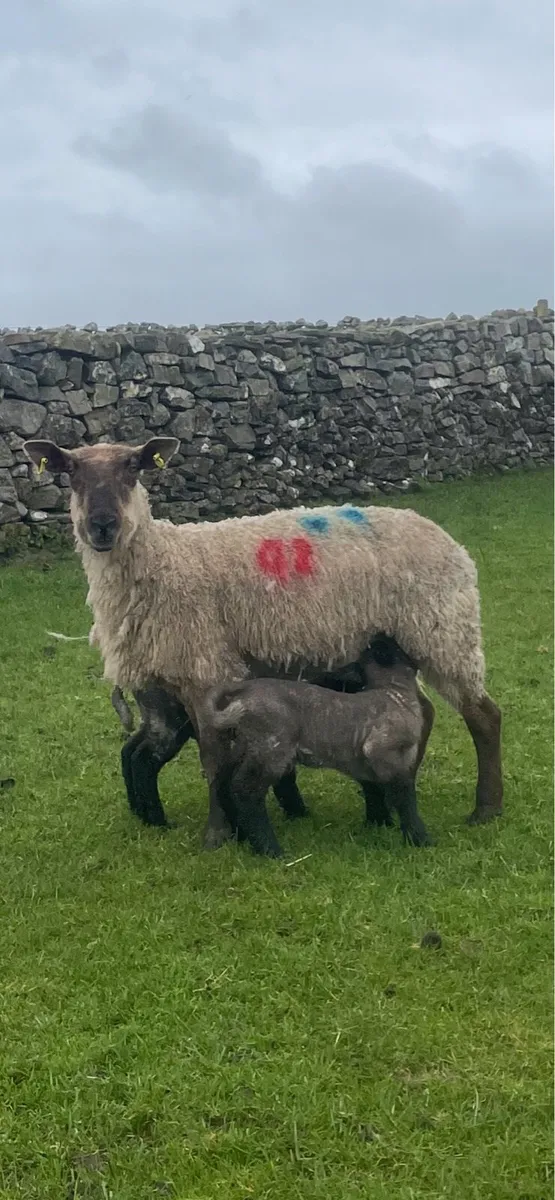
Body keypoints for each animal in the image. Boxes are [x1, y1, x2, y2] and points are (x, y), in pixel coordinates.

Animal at [202, 636, 433, 856]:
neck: (394, 693)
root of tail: (243, 691)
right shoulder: (382, 750)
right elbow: (404, 793)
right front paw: (419, 838)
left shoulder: (369, 762)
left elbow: (378, 790)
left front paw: (380, 825)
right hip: (271, 748)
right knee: (245, 790)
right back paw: (269, 849)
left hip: (242, 746)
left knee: (223, 784)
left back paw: (242, 836)